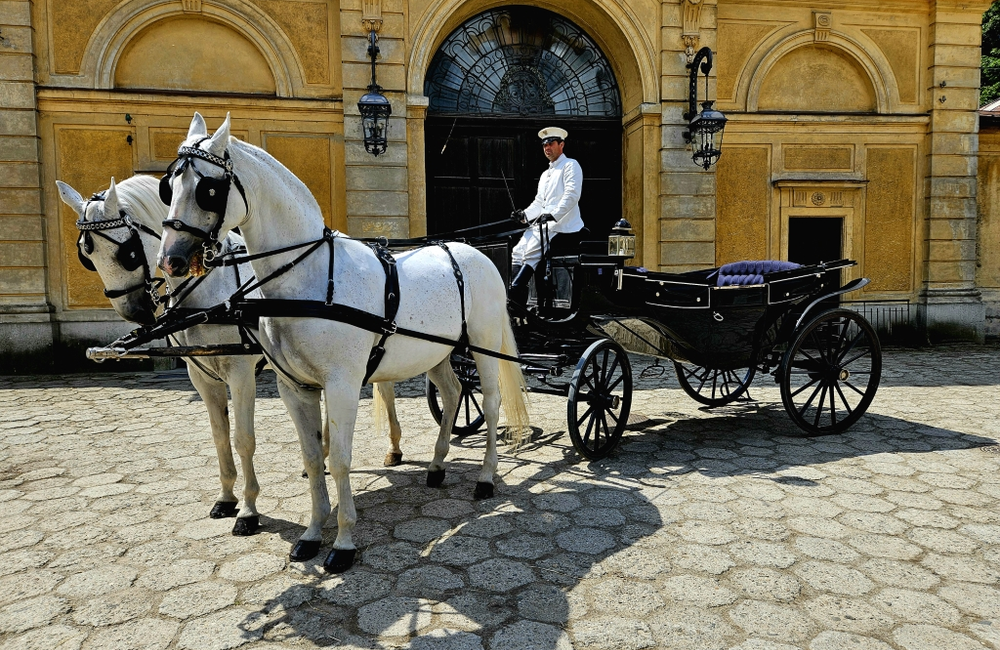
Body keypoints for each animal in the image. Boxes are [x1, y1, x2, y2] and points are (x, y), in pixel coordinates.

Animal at [56, 172, 408, 532]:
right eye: (86, 255)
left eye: (127, 253)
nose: (136, 311)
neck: (211, 290)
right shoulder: (201, 376)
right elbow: (220, 437)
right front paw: (226, 497)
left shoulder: (240, 373)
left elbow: (243, 439)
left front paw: (249, 510)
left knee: (386, 387)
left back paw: (393, 447)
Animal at [157, 112, 532, 572]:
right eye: (168, 185)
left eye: (208, 189)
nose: (171, 259)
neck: (310, 276)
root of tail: (473, 252)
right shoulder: (294, 387)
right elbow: (312, 458)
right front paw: (312, 533)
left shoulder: (341, 384)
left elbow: (338, 460)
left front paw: (344, 542)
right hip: (436, 351)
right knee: (453, 391)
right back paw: (437, 464)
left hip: (481, 344)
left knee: (491, 402)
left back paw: (485, 477)